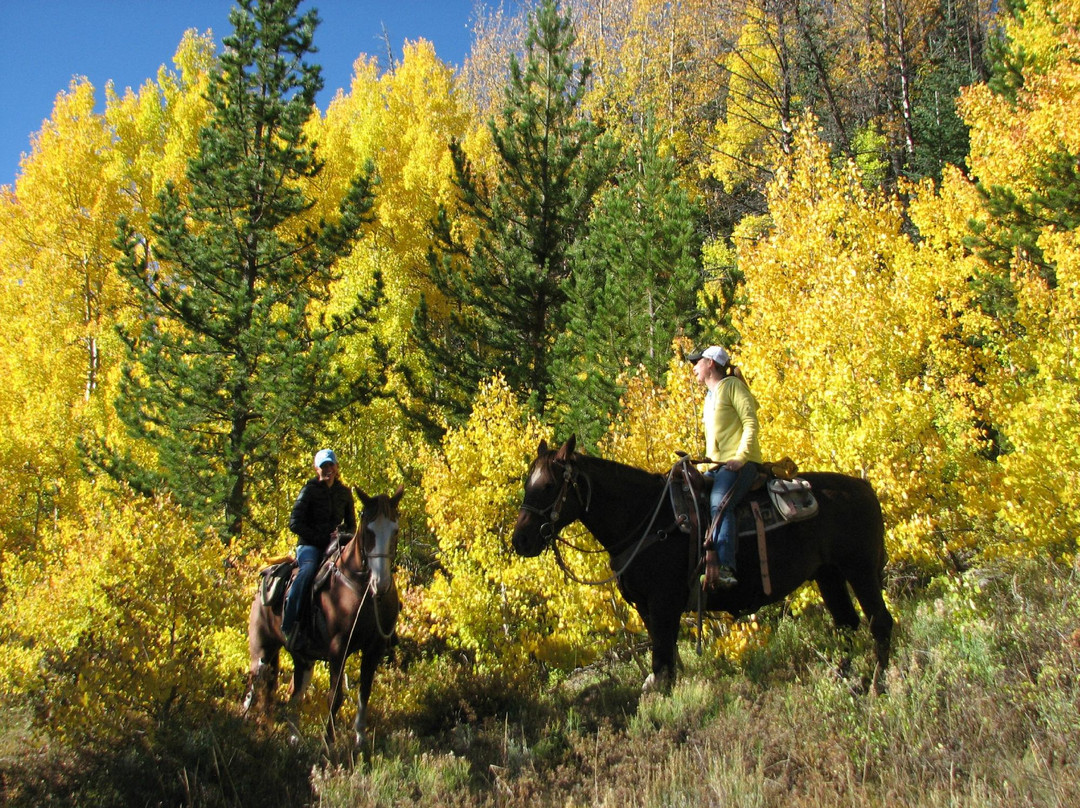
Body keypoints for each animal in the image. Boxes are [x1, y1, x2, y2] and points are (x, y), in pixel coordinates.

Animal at [245, 486, 406, 743]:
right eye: (368, 531)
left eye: (395, 530)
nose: (380, 584)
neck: (361, 589)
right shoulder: (337, 649)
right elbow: (335, 697)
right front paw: (328, 742)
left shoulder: (374, 648)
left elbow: (364, 693)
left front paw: (360, 739)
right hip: (262, 652)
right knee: (252, 690)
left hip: (303, 659)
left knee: (294, 695)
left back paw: (295, 739)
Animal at [509, 438, 889, 691]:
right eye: (528, 483)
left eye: (548, 485)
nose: (520, 541)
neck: (646, 518)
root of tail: (865, 488)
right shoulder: (647, 609)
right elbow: (664, 667)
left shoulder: (664, 605)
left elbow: (661, 667)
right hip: (829, 575)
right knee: (847, 622)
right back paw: (843, 679)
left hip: (861, 570)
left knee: (880, 622)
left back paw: (877, 685)